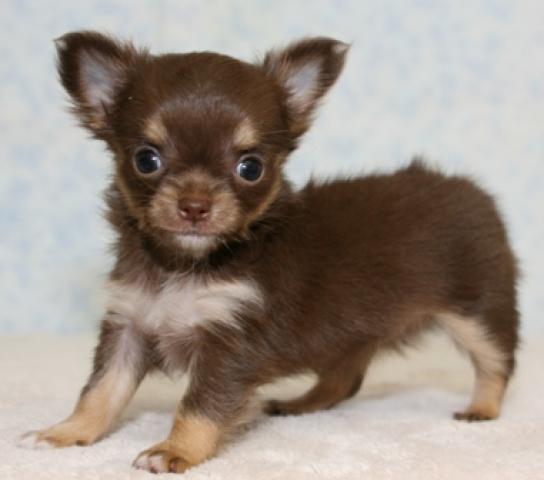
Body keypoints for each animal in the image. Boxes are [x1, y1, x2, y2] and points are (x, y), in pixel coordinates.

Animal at [20, 31, 519, 474]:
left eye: (250, 167)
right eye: (146, 160)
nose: (194, 207)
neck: (185, 265)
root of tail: (472, 190)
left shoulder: (231, 342)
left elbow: (198, 405)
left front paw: (174, 450)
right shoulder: (129, 323)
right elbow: (101, 389)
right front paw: (67, 432)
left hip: (477, 310)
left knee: (497, 361)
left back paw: (481, 408)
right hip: (351, 335)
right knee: (346, 378)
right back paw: (303, 404)